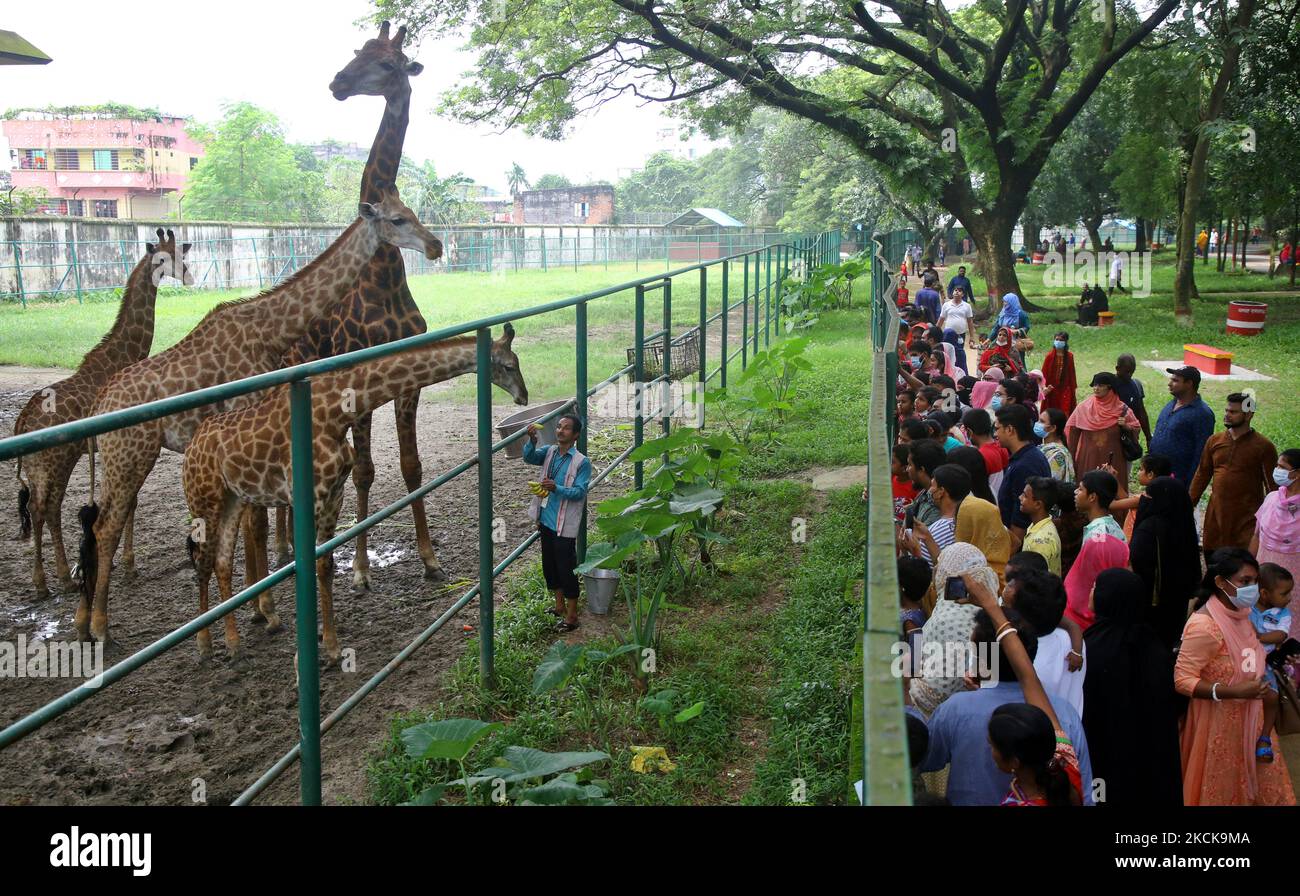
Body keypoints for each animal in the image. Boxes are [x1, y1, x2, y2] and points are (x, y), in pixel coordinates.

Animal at [13, 227, 191, 598]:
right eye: (164, 258)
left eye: (181, 253)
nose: (187, 275)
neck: (122, 356)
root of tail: (21, 423)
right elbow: (131, 501)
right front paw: (129, 564)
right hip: (57, 460)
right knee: (46, 508)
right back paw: (56, 580)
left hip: (42, 466)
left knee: (41, 508)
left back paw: (51, 580)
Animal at [76, 189, 441, 650]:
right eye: (397, 220)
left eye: (411, 212)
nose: (435, 246)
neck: (270, 328)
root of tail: (97, 406)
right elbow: (258, 525)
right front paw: (266, 610)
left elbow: (253, 523)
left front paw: (256, 608)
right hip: (130, 457)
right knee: (105, 528)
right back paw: (101, 627)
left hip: (120, 461)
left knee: (95, 525)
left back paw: (84, 622)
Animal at [184, 325, 527, 660]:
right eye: (510, 365)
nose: (523, 396)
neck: (336, 411)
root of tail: (192, 446)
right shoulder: (311, 496)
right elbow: (310, 566)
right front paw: (306, 656)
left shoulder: (334, 494)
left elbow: (325, 565)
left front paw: (332, 646)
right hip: (204, 501)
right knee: (203, 560)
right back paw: (204, 645)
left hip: (232, 499)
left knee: (222, 561)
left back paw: (233, 643)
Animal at [269, 20, 441, 590]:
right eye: (357, 51)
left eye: (389, 63)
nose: (338, 83)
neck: (383, 276)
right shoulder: (356, 381)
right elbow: (366, 470)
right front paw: (363, 568)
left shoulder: (409, 381)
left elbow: (411, 466)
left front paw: (429, 558)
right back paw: (283, 554)